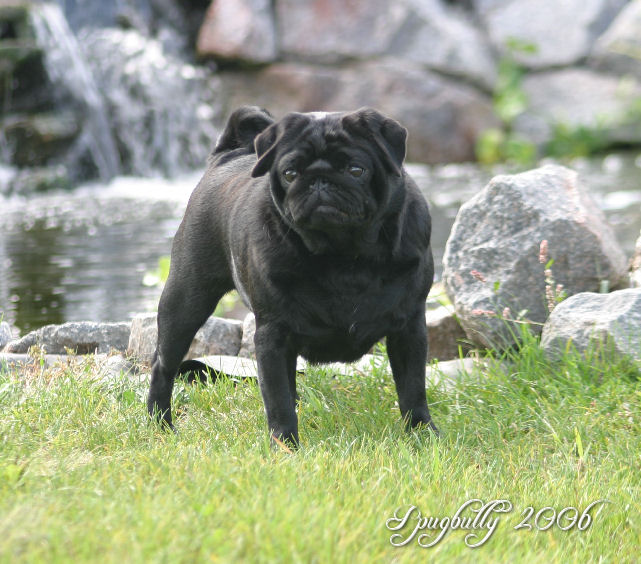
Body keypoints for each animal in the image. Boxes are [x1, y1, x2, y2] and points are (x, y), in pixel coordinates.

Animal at [147, 106, 438, 445]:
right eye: (290, 174)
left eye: (356, 170)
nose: (320, 182)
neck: (345, 256)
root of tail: (226, 156)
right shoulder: (272, 334)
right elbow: (277, 399)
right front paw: (285, 444)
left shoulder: (409, 328)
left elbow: (412, 388)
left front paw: (423, 433)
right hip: (185, 301)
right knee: (163, 365)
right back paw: (160, 423)